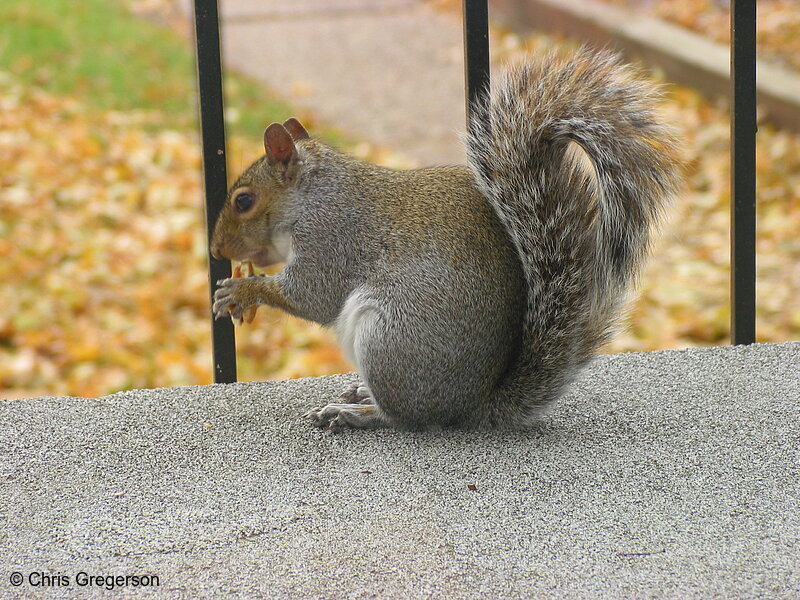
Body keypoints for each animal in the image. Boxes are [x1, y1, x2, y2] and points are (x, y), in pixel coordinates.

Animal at [209, 48, 680, 432]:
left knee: (403, 416)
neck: (313, 195)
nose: (216, 250)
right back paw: (359, 394)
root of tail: (469, 406)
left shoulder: (332, 236)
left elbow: (313, 295)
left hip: (389, 337)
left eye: (244, 200)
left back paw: (357, 412)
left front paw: (241, 290)